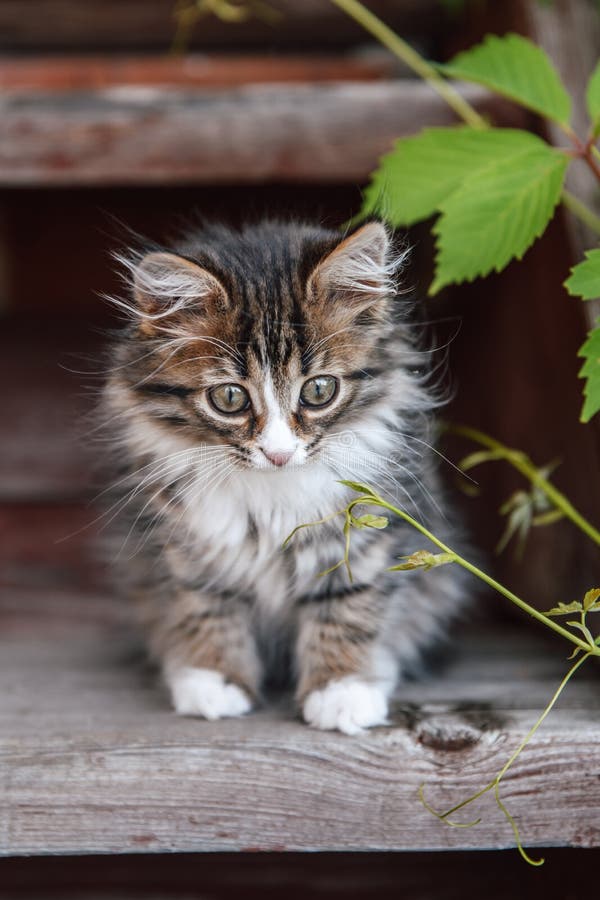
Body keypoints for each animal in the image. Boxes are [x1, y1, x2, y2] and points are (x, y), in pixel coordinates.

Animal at [103, 221, 466, 736]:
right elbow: (203, 604)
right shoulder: (187, 543)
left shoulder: (364, 529)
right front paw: (215, 679)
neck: (271, 491)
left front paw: (341, 690)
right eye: (230, 398)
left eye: (319, 390)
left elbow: (350, 604)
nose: (279, 454)